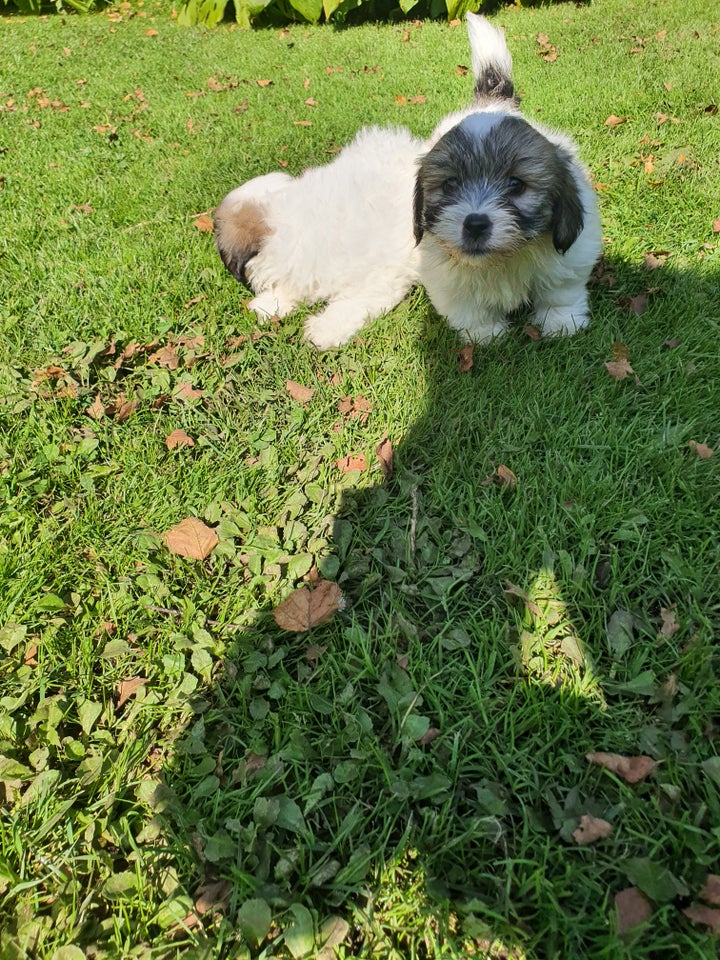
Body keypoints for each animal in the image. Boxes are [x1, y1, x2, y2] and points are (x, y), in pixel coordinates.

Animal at [414, 13, 604, 344]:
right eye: (450, 184)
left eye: (516, 185)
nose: (475, 223)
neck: (503, 259)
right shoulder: (445, 277)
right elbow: (467, 307)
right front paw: (484, 333)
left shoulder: (572, 256)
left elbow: (560, 291)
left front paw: (560, 323)